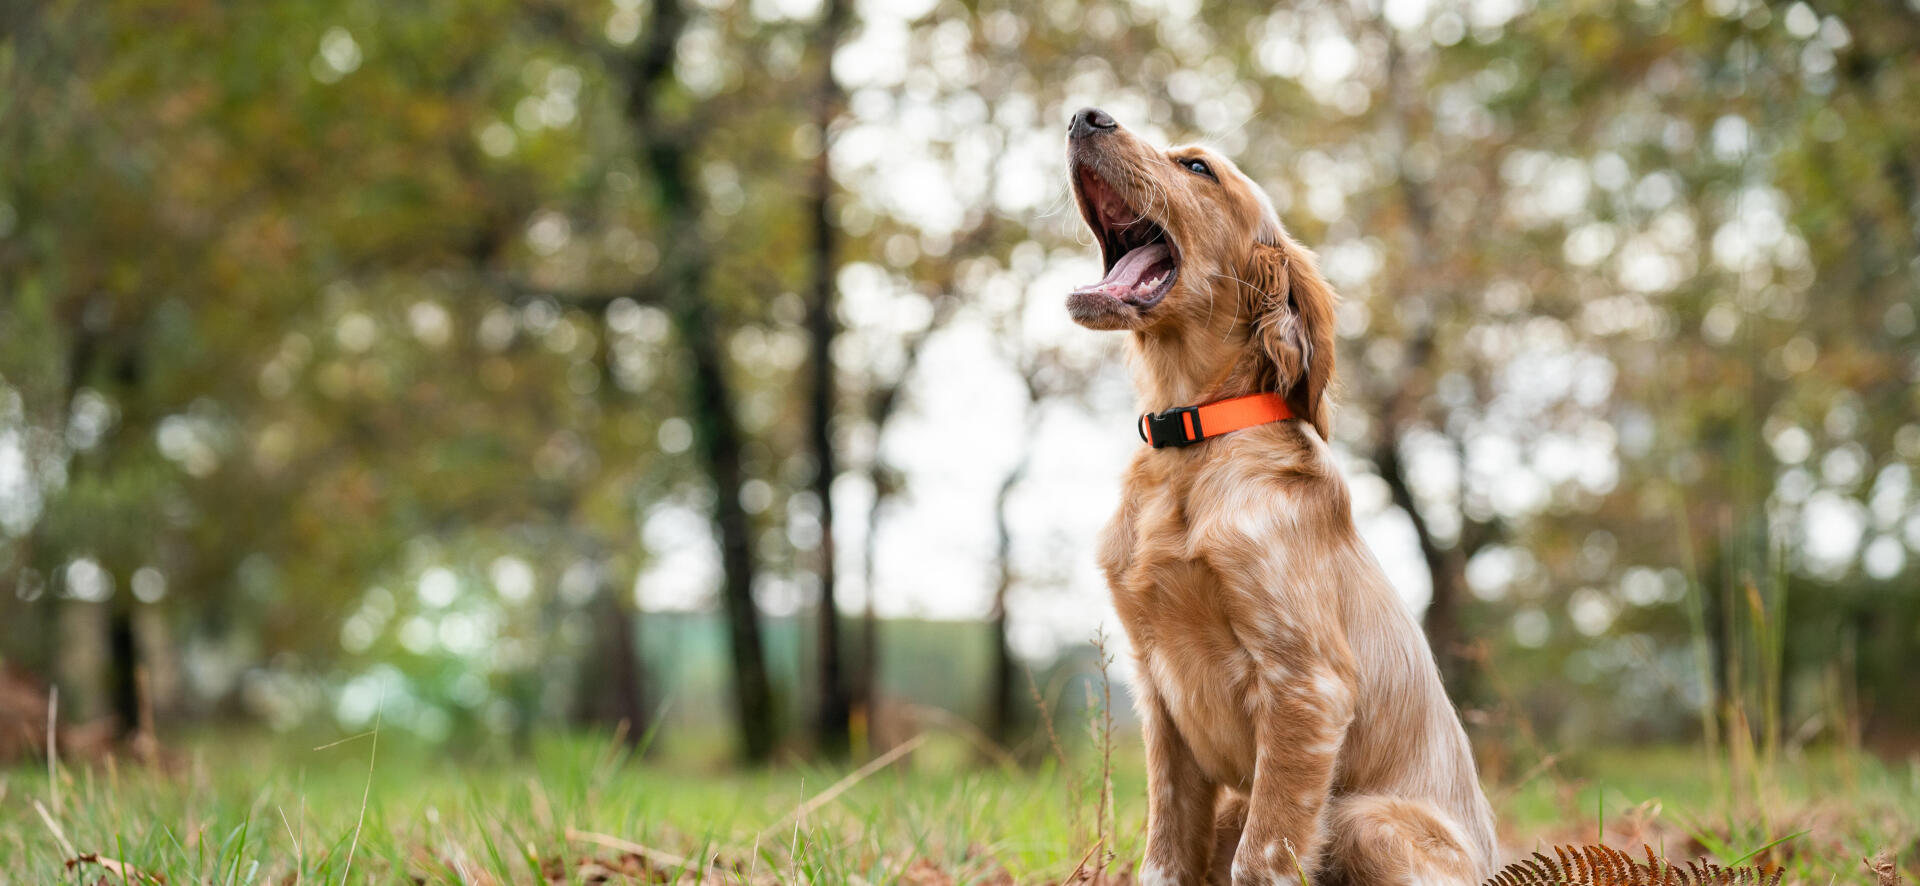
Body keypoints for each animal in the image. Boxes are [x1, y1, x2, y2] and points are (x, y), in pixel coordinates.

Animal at [1067, 105, 1497, 884]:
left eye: (1196, 167)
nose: (1086, 115)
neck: (1192, 441)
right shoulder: (1158, 696)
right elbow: (1164, 856)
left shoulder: (1307, 687)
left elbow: (1261, 860)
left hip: (1363, 819)